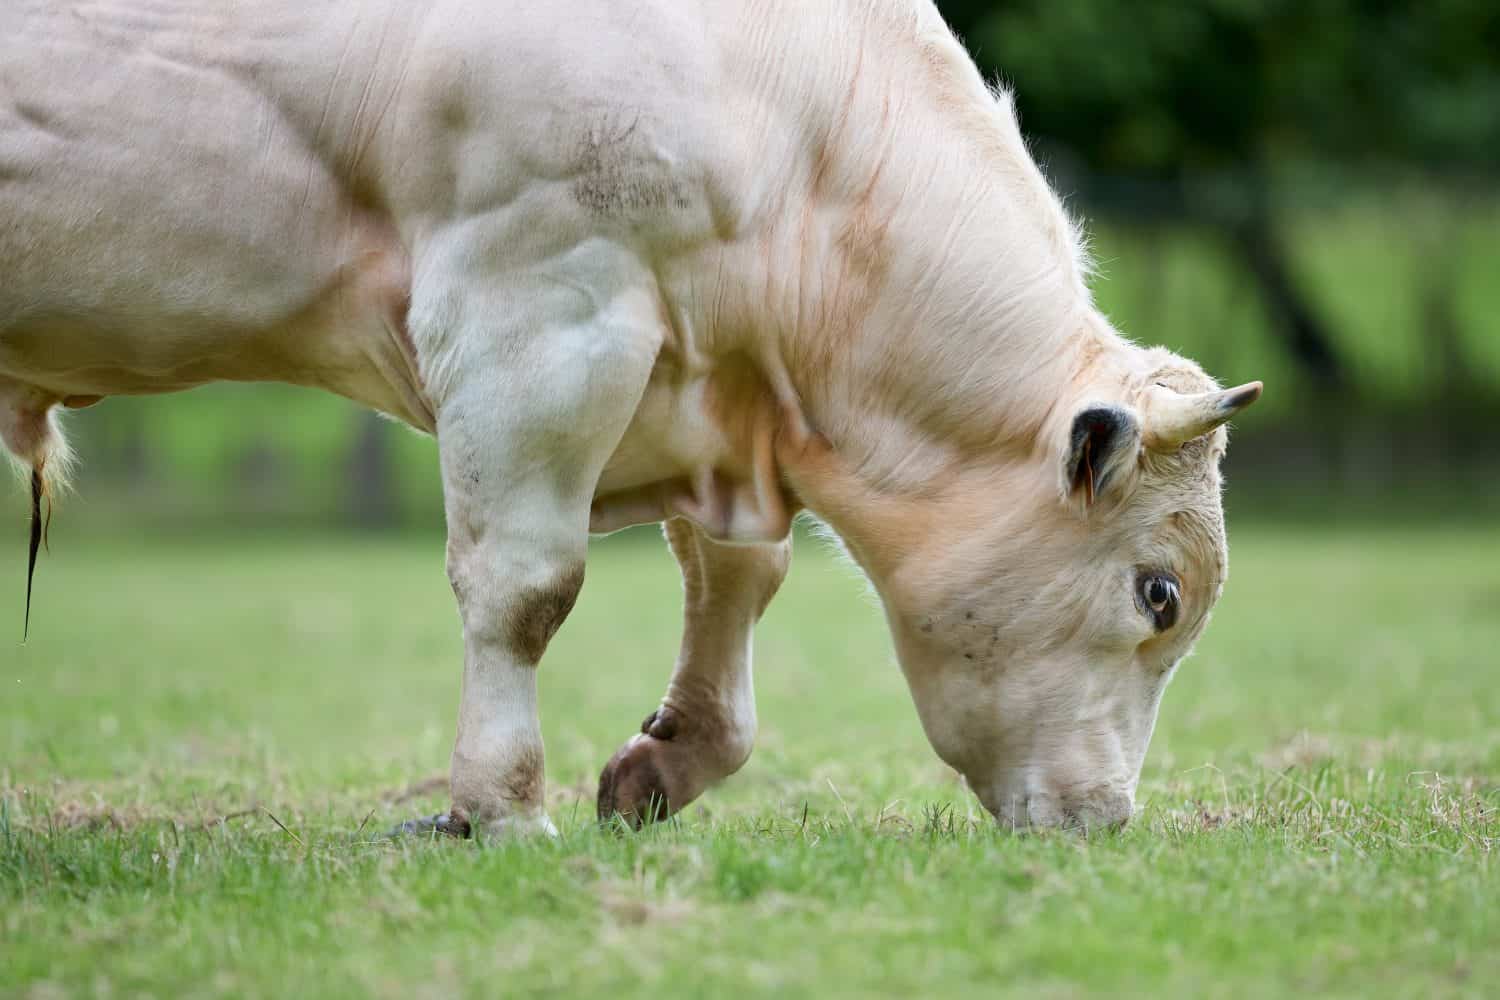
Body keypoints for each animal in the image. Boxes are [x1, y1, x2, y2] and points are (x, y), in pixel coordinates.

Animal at [1, 0, 1259, 835]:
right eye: (1160, 593)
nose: (1108, 816)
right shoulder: (536, 312)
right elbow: (525, 589)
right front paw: (502, 806)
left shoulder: (705, 391)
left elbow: (740, 578)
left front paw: (669, 763)